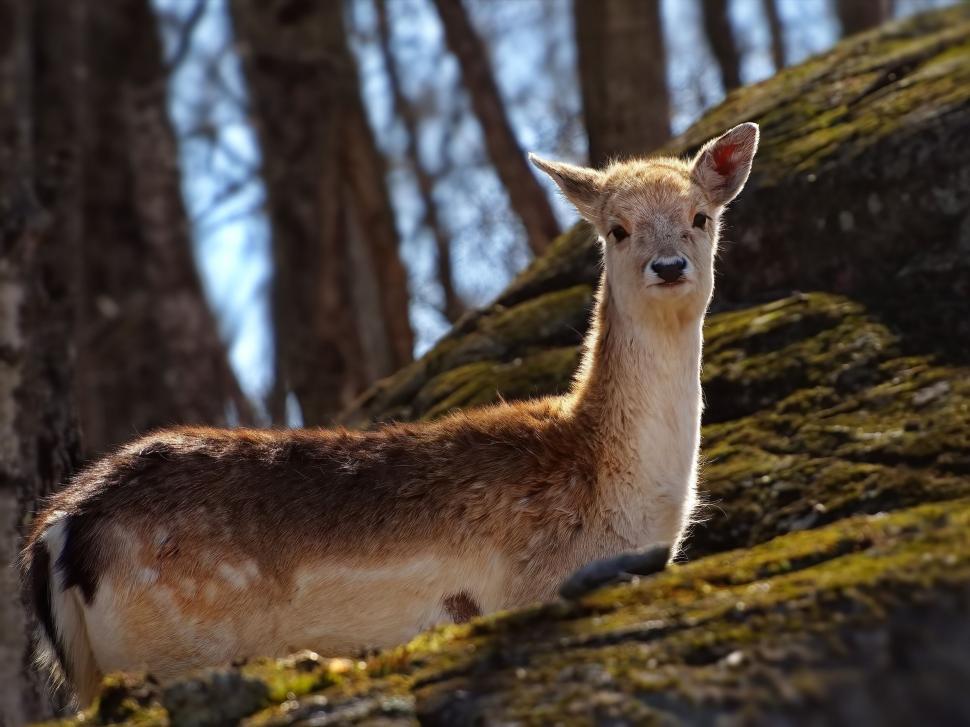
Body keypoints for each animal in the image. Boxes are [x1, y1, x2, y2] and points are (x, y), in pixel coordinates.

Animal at [21, 123, 758, 706]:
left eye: (700, 216)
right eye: (617, 228)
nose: (669, 265)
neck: (625, 500)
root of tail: (59, 529)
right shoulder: (533, 587)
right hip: (173, 650)